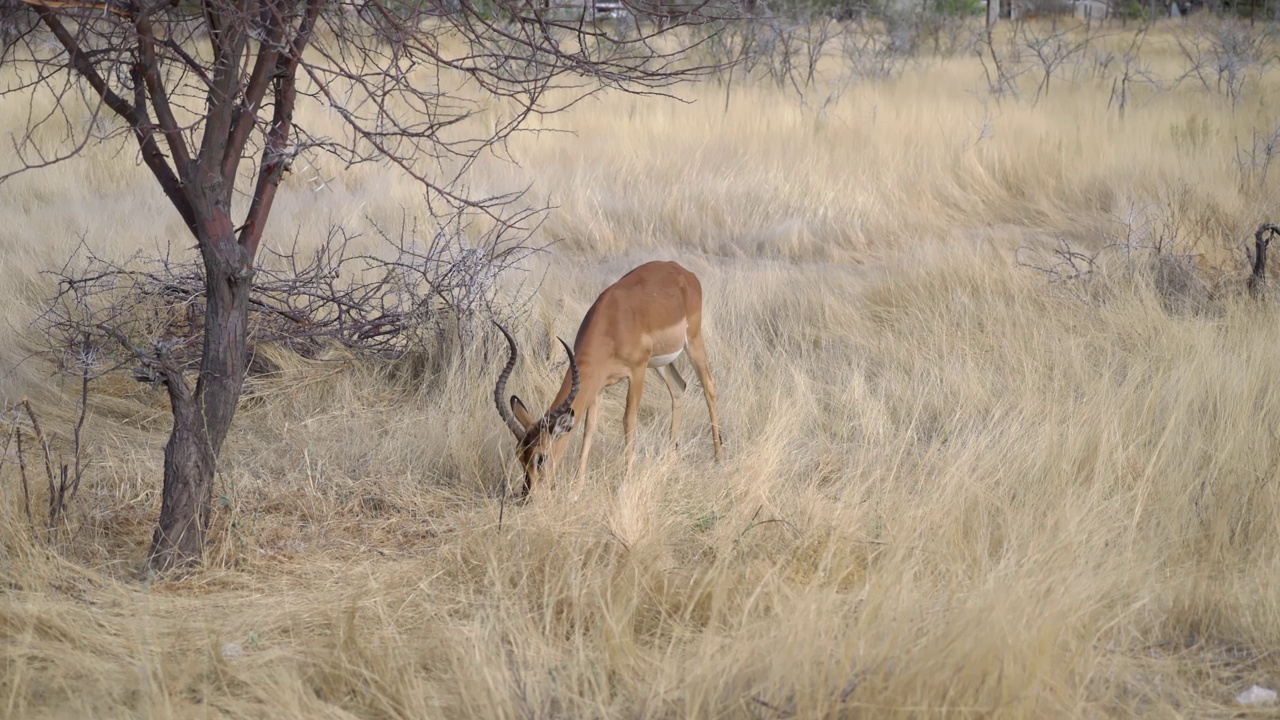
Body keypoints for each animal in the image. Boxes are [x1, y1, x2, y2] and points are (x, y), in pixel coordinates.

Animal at [494, 260, 727, 497]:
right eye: (519, 455)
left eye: (541, 457)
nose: (529, 496)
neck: (613, 324)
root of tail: (682, 270)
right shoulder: (598, 384)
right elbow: (589, 428)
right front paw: (576, 489)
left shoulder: (637, 372)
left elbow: (628, 421)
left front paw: (625, 484)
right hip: (660, 363)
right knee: (679, 387)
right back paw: (671, 461)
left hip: (692, 342)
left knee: (709, 385)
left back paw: (719, 460)